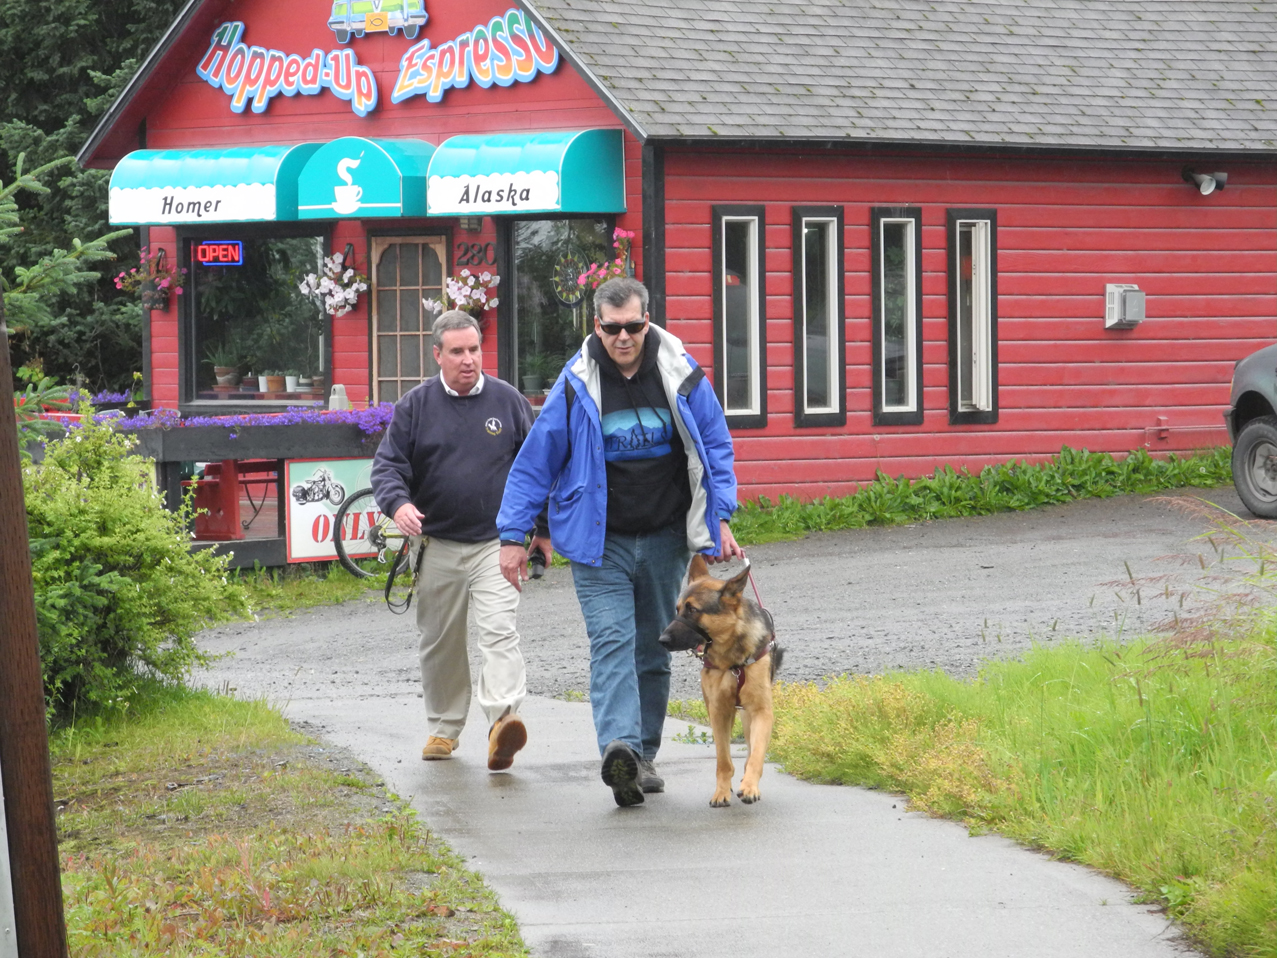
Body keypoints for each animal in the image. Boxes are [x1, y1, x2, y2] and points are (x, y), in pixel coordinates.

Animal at [664, 554, 781, 812]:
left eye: (692, 610)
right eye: (677, 609)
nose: (661, 639)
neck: (732, 660)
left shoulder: (762, 712)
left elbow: (756, 754)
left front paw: (750, 786)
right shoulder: (718, 712)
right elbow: (723, 760)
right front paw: (721, 792)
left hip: (747, 716)